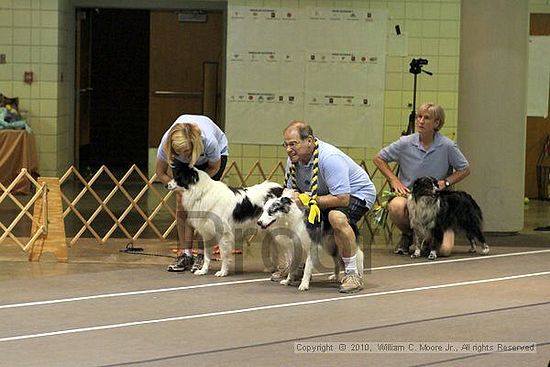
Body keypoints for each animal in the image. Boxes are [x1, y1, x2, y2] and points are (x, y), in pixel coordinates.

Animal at [172, 160, 310, 278]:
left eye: (177, 177)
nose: (168, 184)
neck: (203, 192)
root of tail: (282, 190)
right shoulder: (207, 233)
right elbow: (206, 255)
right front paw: (203, 270)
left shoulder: (224, 234)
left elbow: (223, 254)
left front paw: (223, 271)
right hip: (268, 229)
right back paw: (273, 269)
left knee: (287, 250)